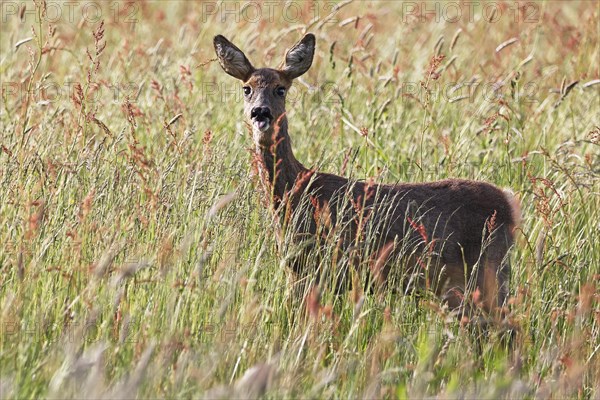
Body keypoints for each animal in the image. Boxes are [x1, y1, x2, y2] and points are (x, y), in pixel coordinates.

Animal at [213, 32, 516, 318]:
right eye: (247, 89)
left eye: (281, 89)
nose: (260, 113)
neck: (295, 193)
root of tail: (509, 203)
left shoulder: (314, 268)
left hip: (486, 273)